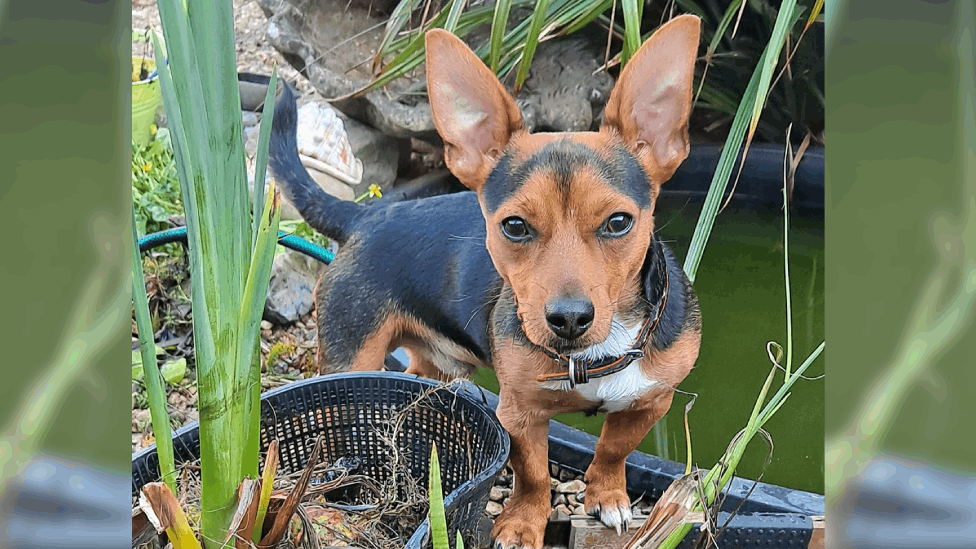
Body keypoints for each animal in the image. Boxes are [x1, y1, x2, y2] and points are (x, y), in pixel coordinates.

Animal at [268, 13, 700, 548]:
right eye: (514, 226)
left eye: (618, 222)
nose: (568, 319)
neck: (595, 354)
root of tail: (366, 214)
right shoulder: (518, 414)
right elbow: (533, 474)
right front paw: (522, 523)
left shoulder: (650, 401)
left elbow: (614, 450)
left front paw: (608, 497)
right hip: (351, 361)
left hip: (431, 369)